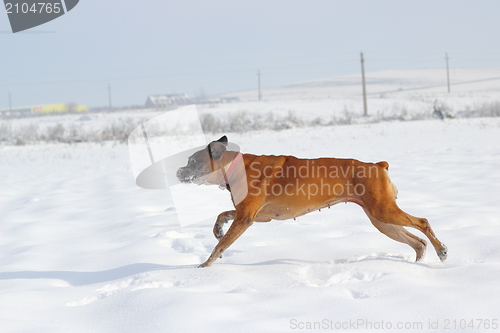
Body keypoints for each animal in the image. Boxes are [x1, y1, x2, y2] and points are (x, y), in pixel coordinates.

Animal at [178, 135, 448, 268]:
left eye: (192, 161)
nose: (179, 171)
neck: (235, 167)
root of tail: (377, 165)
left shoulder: (246, 217)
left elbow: (221, 246)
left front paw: (205, 267)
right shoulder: (254, 215)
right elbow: (222, 216)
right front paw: (217, 229)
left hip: (384, 211)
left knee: (423, 222)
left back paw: (441, 250)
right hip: (381, 220)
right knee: (417, 242)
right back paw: (418, 262)